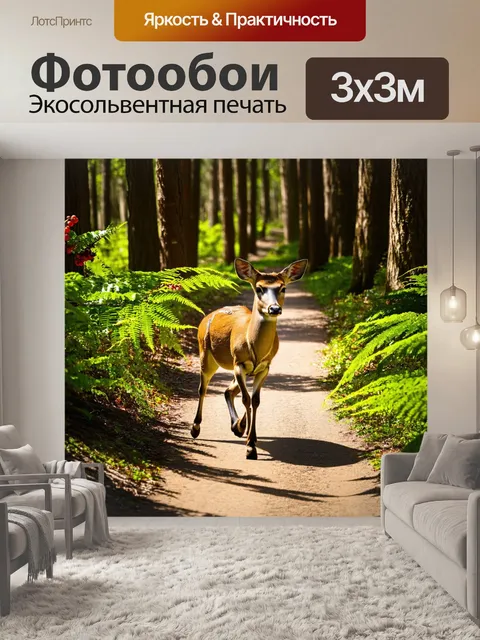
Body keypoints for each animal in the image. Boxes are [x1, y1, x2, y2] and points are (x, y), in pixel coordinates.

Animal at [191, 257, 308, 460]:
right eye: (259, 288)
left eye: (283, 288)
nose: (274, 308)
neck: (255, 346)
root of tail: (207, 316)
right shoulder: (239, 363)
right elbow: (246, 399)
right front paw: (250, 446)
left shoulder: (264, 367)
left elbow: (255, 400)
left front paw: (248, 437)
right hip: (205, 354)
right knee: (203, 388)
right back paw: (196, 427)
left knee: (228, 391)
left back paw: (238, 426)